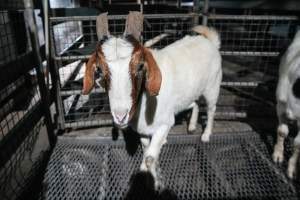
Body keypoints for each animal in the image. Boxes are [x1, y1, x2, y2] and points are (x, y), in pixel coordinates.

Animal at [81, 13, 221, 184]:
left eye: (140, 66)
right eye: (100, 70)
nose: (120, 116)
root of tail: (210, 42)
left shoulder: (165, 123)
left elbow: (150, 157)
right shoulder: (142, 129)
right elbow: (145, 149)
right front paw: (143, 172)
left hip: (212, 87)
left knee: (211, 109)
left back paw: (206, 135)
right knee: (194, 103)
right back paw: (192, 126)